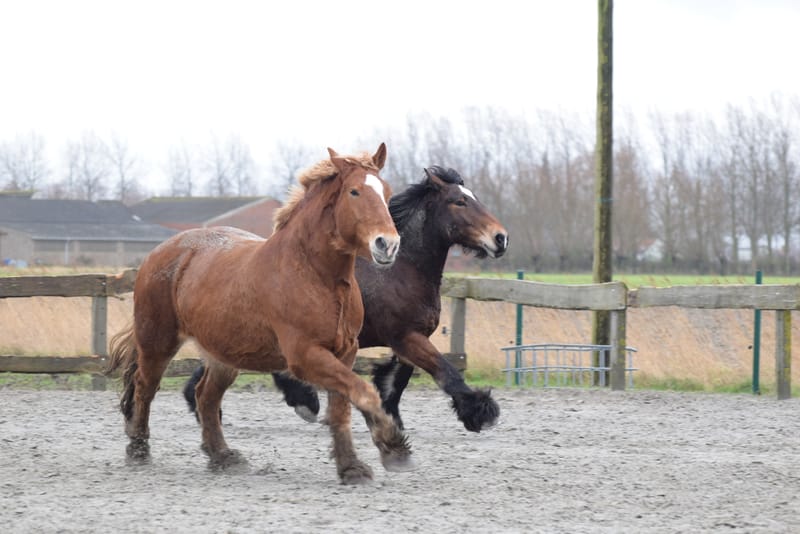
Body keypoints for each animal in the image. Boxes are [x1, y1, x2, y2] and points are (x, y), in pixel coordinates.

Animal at [105, 144, 414, 485]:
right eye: (354, 191)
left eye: (386, 192)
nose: (388, 244)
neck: (315, 275)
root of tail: (160, 252)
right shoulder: (305, 355)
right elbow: (364, 392)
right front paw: (392, 445)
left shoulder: (344, 353)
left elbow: (343, 407)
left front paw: (354, 466)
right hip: (157, 341)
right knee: (145, 387)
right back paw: (138, 450)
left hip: (223, 355)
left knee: (205, 397)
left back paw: (222, 456)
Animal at [184, 165, 509, 432]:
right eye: (459, 201)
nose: (500, 238)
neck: (399, 271)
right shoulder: (407, 337)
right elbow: (446, 372)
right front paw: (480, 412)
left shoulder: (407, 340)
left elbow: (395, 382)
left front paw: (390, 418)